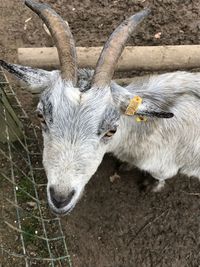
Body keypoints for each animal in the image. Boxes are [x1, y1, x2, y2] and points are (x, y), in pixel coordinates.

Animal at [1, 0, 200, 216]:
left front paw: (150, 186)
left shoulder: (164, 168)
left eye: (111, 130)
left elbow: (160, 177)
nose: (60, 199)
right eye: (40, 116)